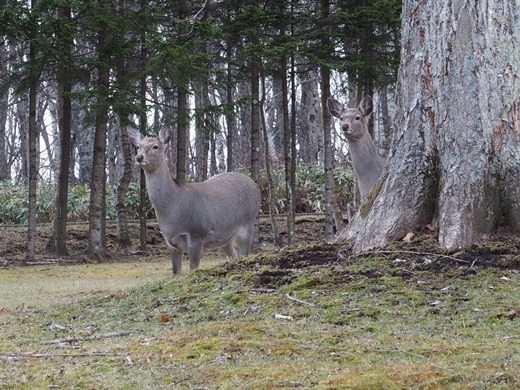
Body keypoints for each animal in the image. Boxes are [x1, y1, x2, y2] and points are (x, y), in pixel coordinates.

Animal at [129, 128, 260, 274]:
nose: (139, 157)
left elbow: (192, 270)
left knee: (244, 254)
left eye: (155, 146)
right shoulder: (170, 241)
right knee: (234, 255)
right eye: (138, 146)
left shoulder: (196, 234)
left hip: (248, 222)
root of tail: (255, 185)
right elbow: (176, 273)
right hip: (226, 236)